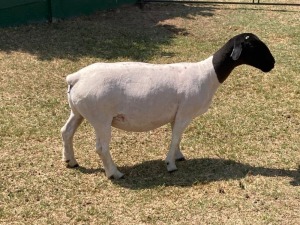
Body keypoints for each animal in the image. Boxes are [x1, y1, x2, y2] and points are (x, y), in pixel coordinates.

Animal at [61, 32, 276, 178]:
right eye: (253, 46)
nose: (272, 64)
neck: (207, 74)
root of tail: (76, 77)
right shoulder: (185, 113)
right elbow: (175, 138)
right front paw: (170, 165)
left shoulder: (177, 114)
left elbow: (177, 137)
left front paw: (178, 156)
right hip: (100, 117)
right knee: (101, 148)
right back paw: (115, 173)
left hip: (78, 111)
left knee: (66, 132)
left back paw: (71, 161)